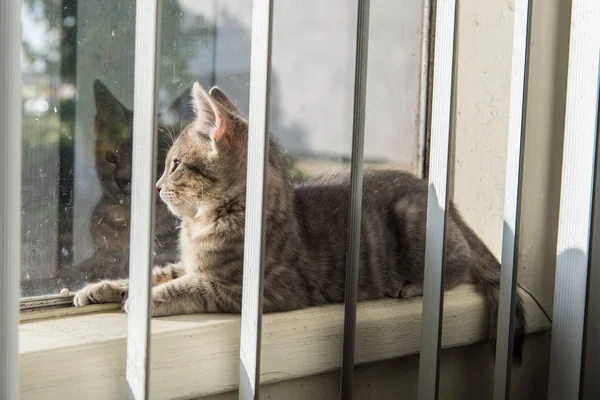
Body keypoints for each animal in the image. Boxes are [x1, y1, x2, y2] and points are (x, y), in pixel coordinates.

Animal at [74, 81, 524, 362]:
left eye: (174, 165)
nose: (154, 187)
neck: (208, 221)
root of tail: (441, 199)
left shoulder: (261, 289)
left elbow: (191, 287)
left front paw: (144, 300)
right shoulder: (187, 263)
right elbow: (155, 272)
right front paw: (101, 287)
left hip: (414, 220)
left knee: (462, 261)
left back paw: (414, 285)